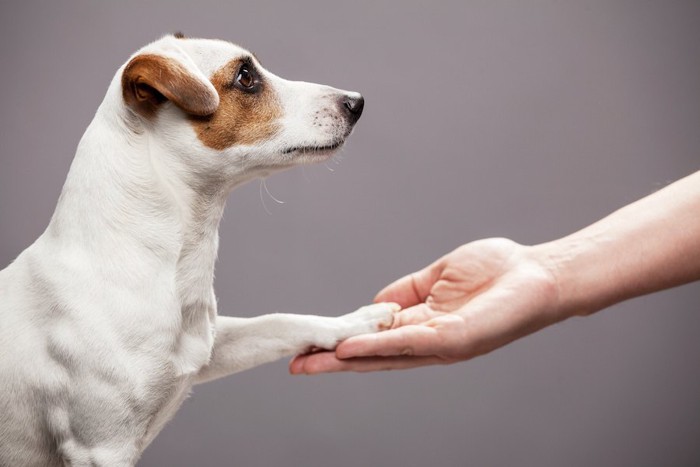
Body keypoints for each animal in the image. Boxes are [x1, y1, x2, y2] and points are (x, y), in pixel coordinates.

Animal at [0, 34, 396, 466]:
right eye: (245, 77)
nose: (356, 102)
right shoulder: (102, 448)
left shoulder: (210, 345)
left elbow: (280, 322)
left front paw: (358, 321)